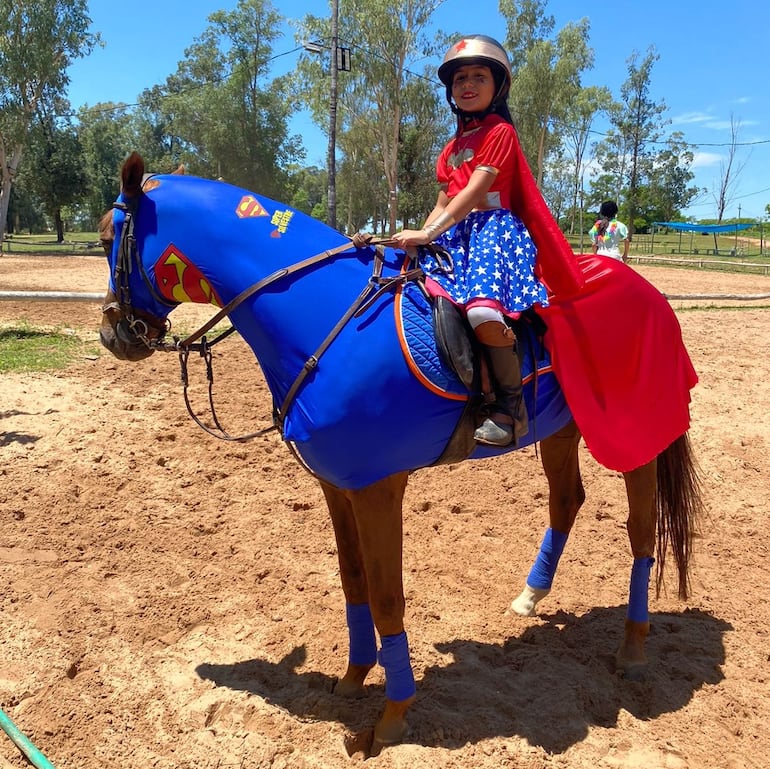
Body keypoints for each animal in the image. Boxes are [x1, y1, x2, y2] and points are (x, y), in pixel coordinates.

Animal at [97, 152, 704, 756]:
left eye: (107, 236)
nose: (112, 335)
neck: (327, 318)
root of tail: (641, 286)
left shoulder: (378, 487)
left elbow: (389, 596)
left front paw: (390, 718)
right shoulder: (338, 484)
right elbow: (354, 581)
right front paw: (352, 678)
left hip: (631, 436)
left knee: (641, 530)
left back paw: (633, 649)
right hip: (561, 427)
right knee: (567, 500)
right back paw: (530, 598)